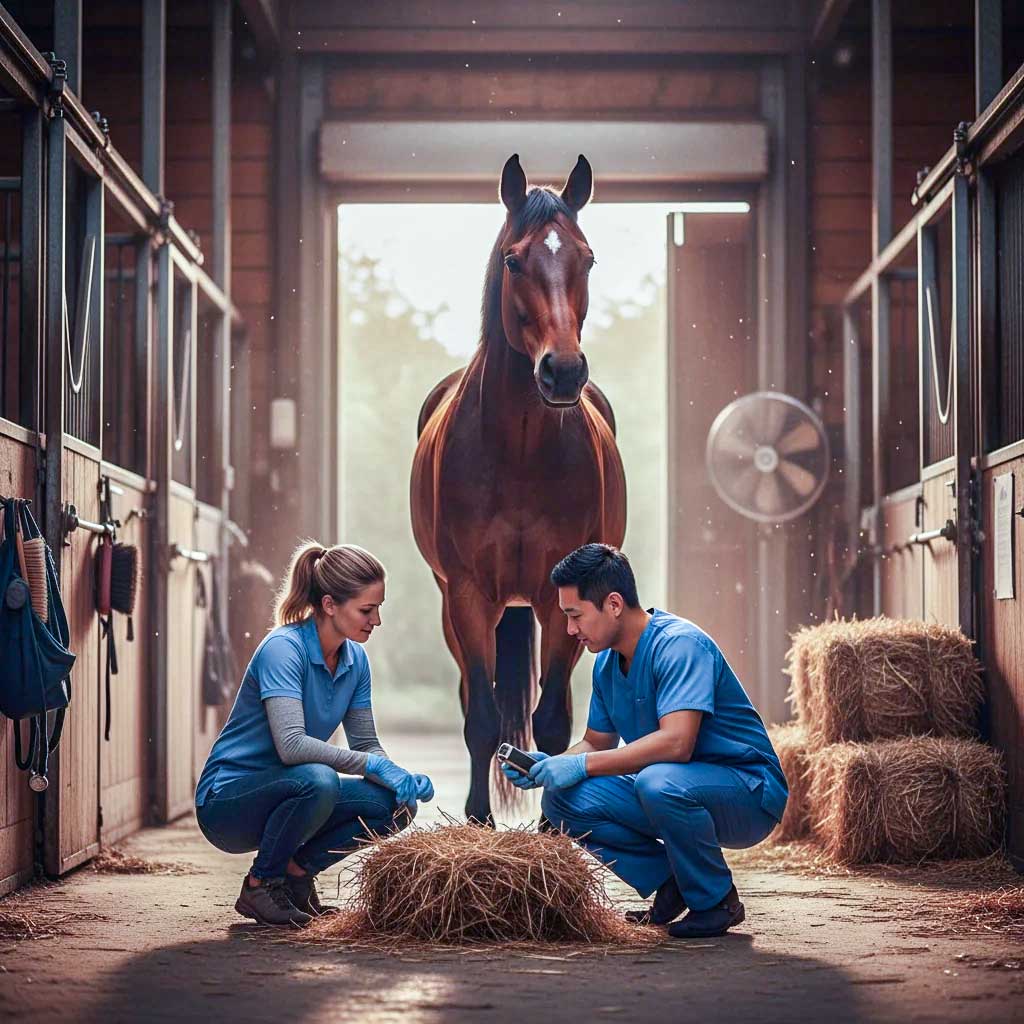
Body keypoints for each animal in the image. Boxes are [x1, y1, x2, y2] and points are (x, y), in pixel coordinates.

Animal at [410, 154, 627, 824]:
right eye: (513, 259)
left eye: (588, 258)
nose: (562, 371)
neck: (520, 454)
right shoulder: (467, 593)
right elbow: (481, 718)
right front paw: (480, 820)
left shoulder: (563, 599)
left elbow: (552, 721)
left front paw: (556, 823)